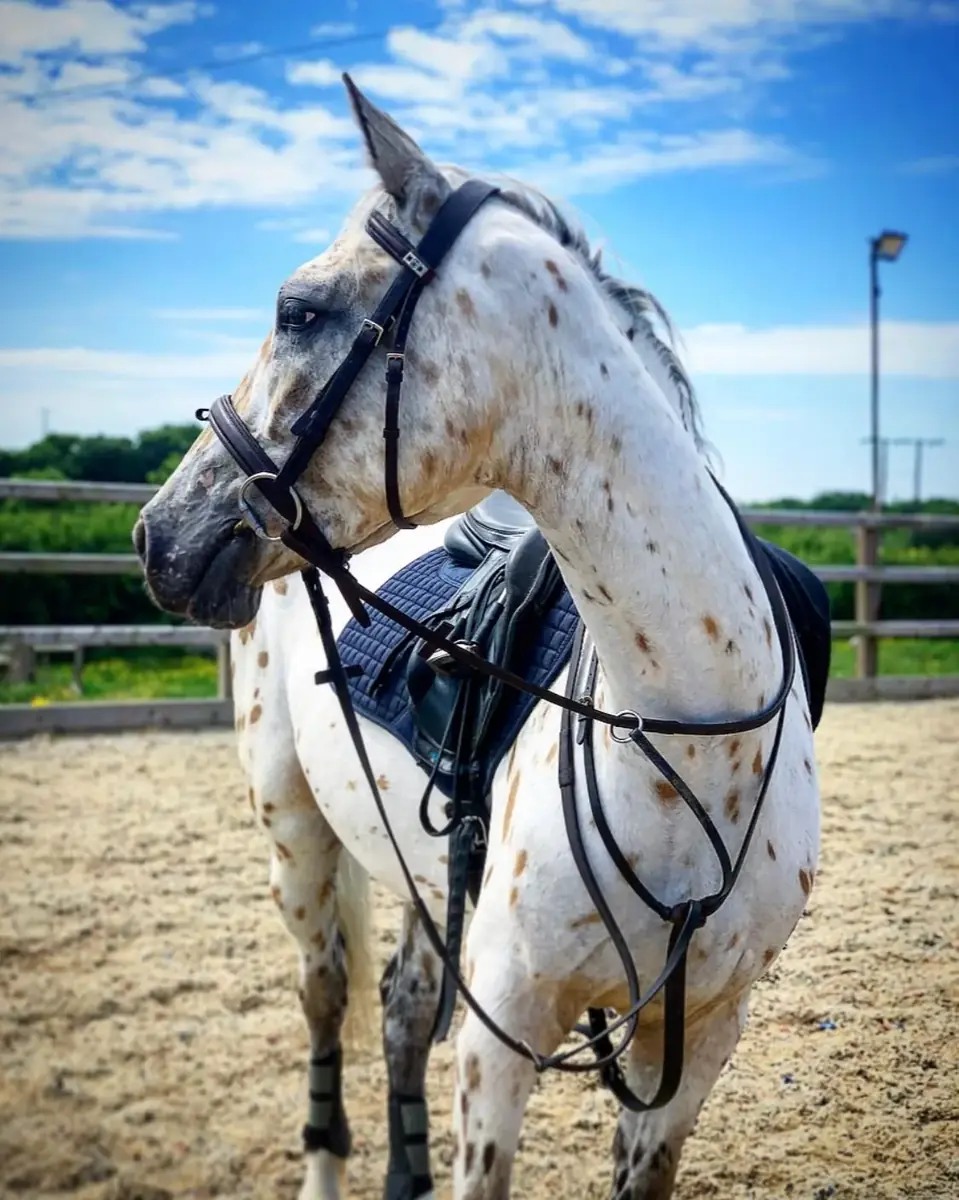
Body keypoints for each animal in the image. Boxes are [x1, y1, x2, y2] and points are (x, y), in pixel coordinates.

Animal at [134, 76, 824, 1200]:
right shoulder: (500, 1038)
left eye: (296, 311)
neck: (686, 749)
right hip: (296, 835)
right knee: (326, 1001)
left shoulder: (695, 1047)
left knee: (402, 1006)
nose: (158, 531)